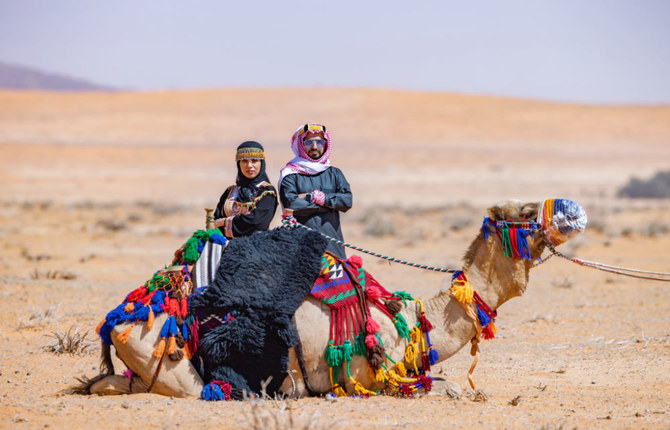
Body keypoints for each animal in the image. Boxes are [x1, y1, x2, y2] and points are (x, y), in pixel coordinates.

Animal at [75, 200, 588, 398]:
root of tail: (117, 317)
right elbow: (446, 386)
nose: (571, 213)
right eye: (527, 213)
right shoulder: (377, 377)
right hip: (171, 360)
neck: (415, 324)